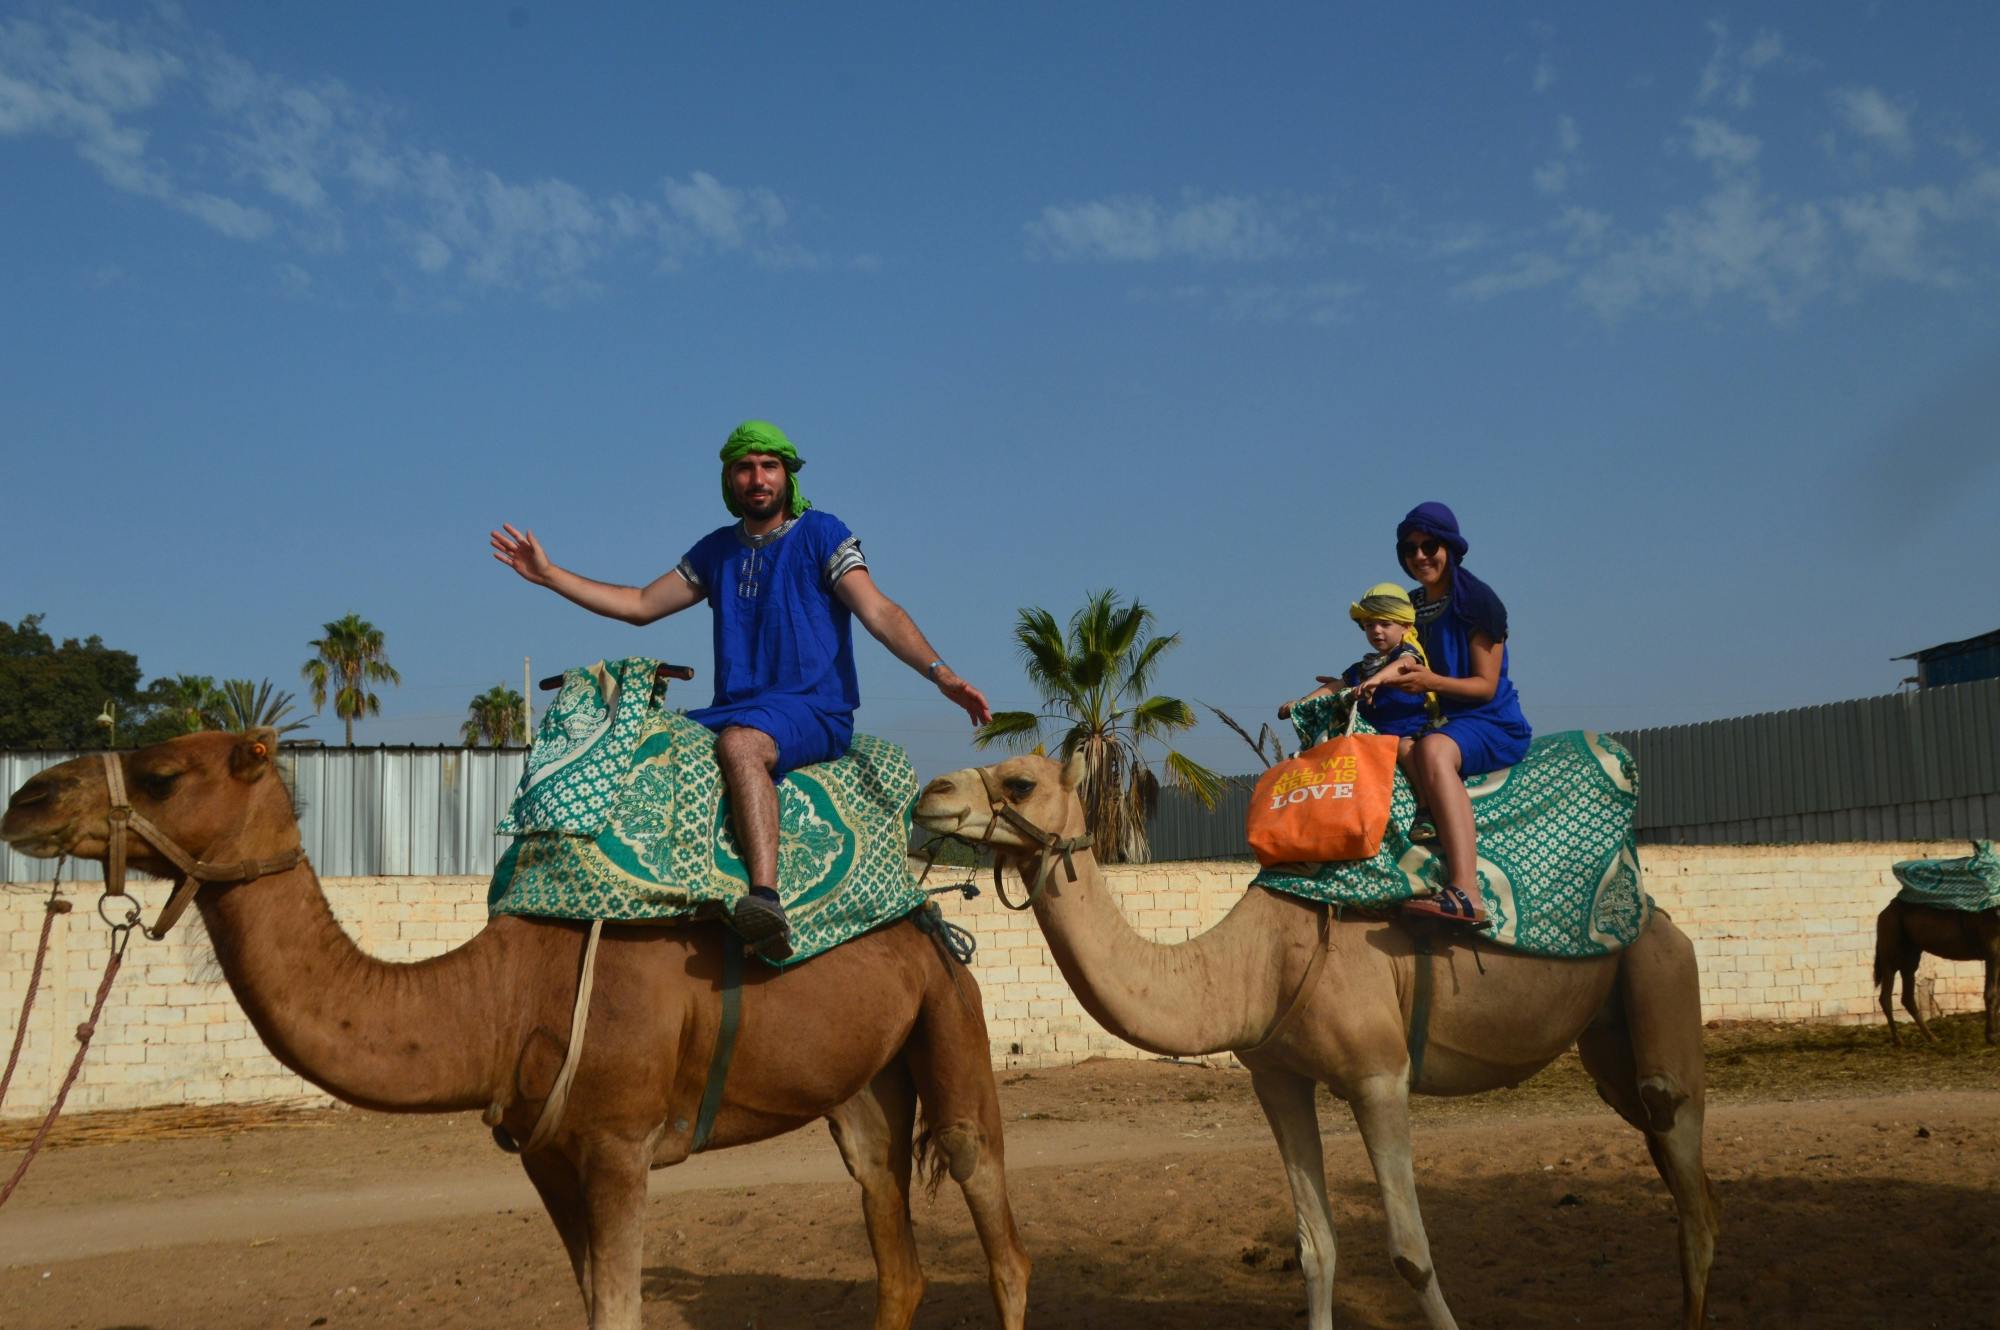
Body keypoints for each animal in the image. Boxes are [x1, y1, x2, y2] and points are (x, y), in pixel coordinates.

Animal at [0, 728, 1032, 1328]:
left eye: (161, 774)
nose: (26, 801)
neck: (499, 1000)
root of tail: (927, 911)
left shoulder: (618, 1144)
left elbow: (619, 1312)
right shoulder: (546, 1152)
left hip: (952, 1016)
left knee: (996, 1220)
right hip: (860, 1083)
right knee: (888, 1225)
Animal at [920, 752, 1720, 1328]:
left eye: (1020, 782)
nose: (930, 791)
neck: (1254, 963)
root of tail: (1654, 909)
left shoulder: (1380, 1075)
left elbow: (1410, 1254)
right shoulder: (1277, 1078)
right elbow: (1315, 1247)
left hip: (1661, 970)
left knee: (1686, 1158)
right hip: (1608, 1043)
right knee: (1674, 1164)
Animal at [1872, 896, 2000, 1040]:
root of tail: (1883, 914)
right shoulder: (1993, 953)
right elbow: (1992, 993)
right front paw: (1992, 1036)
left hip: (1911, 956)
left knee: (1907, 997)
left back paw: (1932, 1038)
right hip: (1891, 956)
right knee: (1886, 996)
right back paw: (1898, 1040)